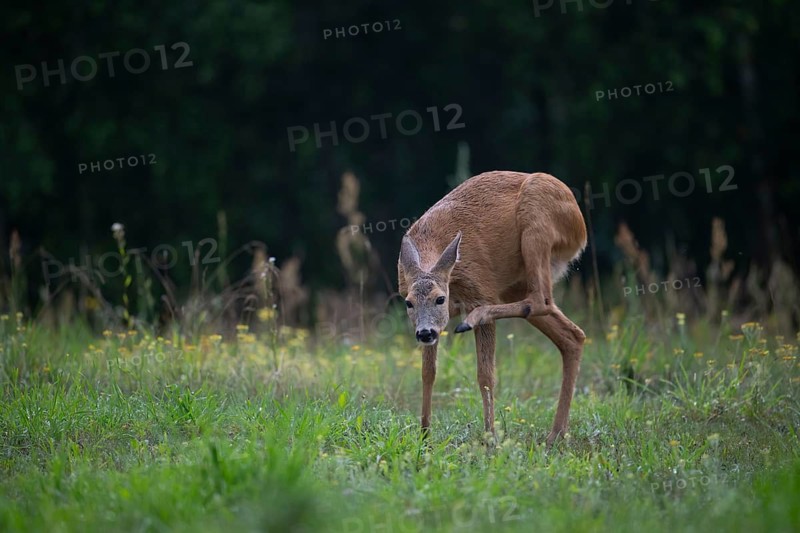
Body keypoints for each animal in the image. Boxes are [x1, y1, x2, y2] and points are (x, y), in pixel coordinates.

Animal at [397, 171, 587, 447]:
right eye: (408, 302)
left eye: (440, 299)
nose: (424, 333)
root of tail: (580, 226)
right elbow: (427, 372)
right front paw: (424, 434)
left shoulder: (480, 291)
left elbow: (485, 376)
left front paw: (490, 437)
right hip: (516, 285)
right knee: (572, 335)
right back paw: (555, 435)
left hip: (536, 227)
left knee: (541, 299)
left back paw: (471, 319)